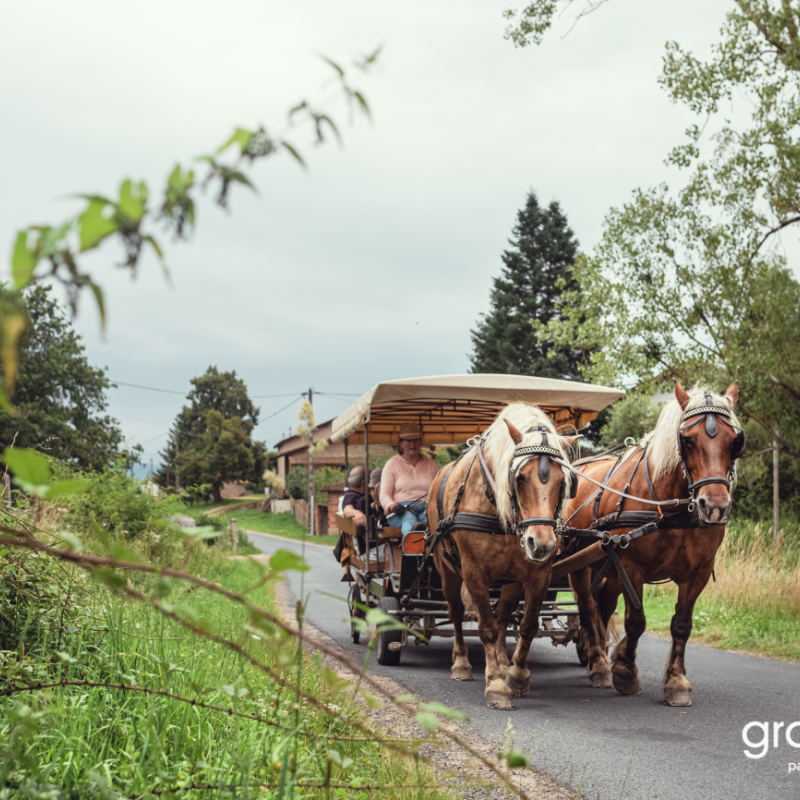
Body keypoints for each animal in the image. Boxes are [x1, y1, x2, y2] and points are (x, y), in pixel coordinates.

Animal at [428, 404, 580, 708]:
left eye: (563, 481)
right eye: (520, 477)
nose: (541, 544)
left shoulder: (539, 574)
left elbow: (527, 626)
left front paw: (516, 676)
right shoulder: (473, 572)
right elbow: (486, 627)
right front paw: (496, 686)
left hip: (511, 580)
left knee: (502, 616)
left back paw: (500, 661)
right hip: (447, 571)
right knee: (456, 611)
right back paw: (462, 663)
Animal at [568, 378, 744, 704]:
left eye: (734, 442)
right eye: (687, 440)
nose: (714, 506)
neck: (673, 507)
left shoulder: (698, 572)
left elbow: (682, 625)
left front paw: (676, 682)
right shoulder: (632, 567)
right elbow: (636, 621)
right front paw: (625, 671)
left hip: (609, 566)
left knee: (603, 607)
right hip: (580, 564)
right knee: (587, 608)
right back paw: (598, 665)